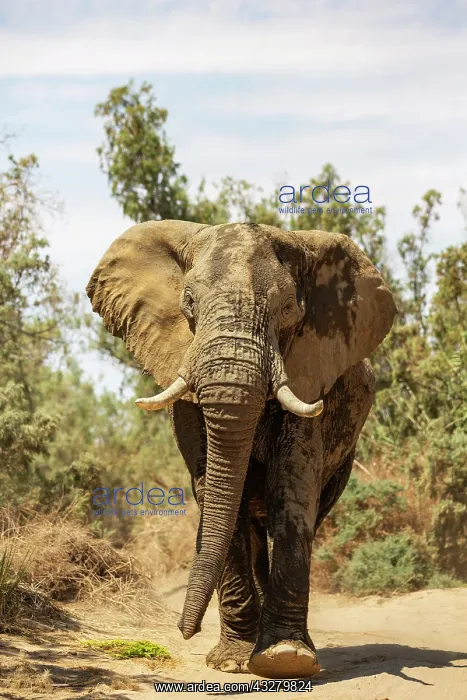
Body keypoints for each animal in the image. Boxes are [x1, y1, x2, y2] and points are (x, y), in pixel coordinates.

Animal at [86, 220, 396, 679]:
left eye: (286, 308)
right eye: (189, 302)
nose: (185, 631)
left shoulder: (309, 372)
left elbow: (292, 488)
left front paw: (285, 658)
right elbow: (213, 492)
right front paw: (232, 661)